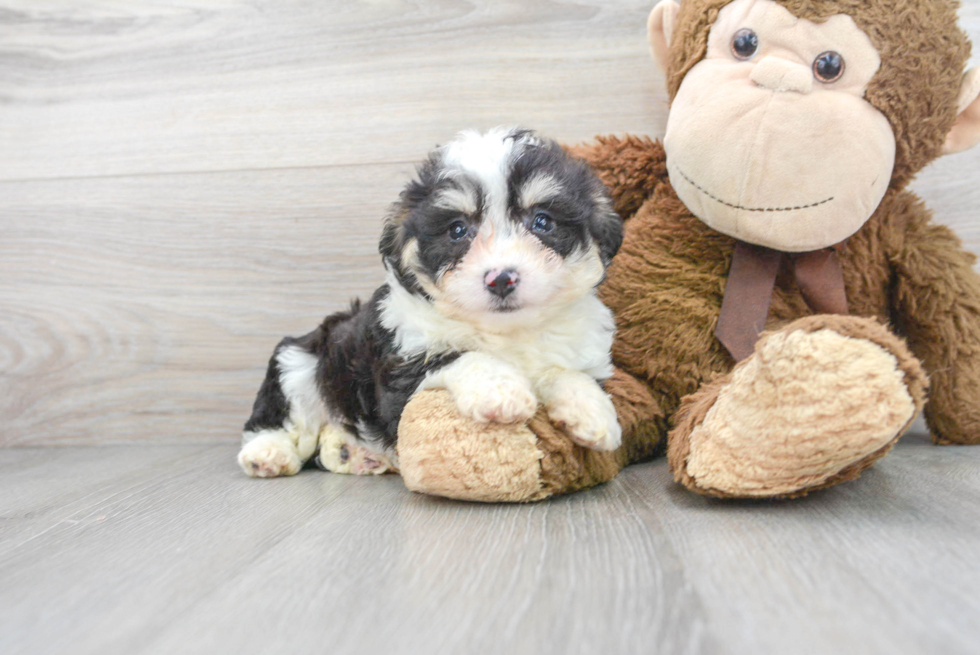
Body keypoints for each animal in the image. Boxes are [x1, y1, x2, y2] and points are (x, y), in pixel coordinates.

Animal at [236, 127, 620, 476]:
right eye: (457, 230)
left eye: (542, 221)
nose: (501, 278)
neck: (505, 331)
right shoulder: (400, 373)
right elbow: (461, 356)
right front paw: (500, 390)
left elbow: (563, 371)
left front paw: (593, 412)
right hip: (302, 359)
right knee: (279, 414)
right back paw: (267, 453)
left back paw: (352, 453)